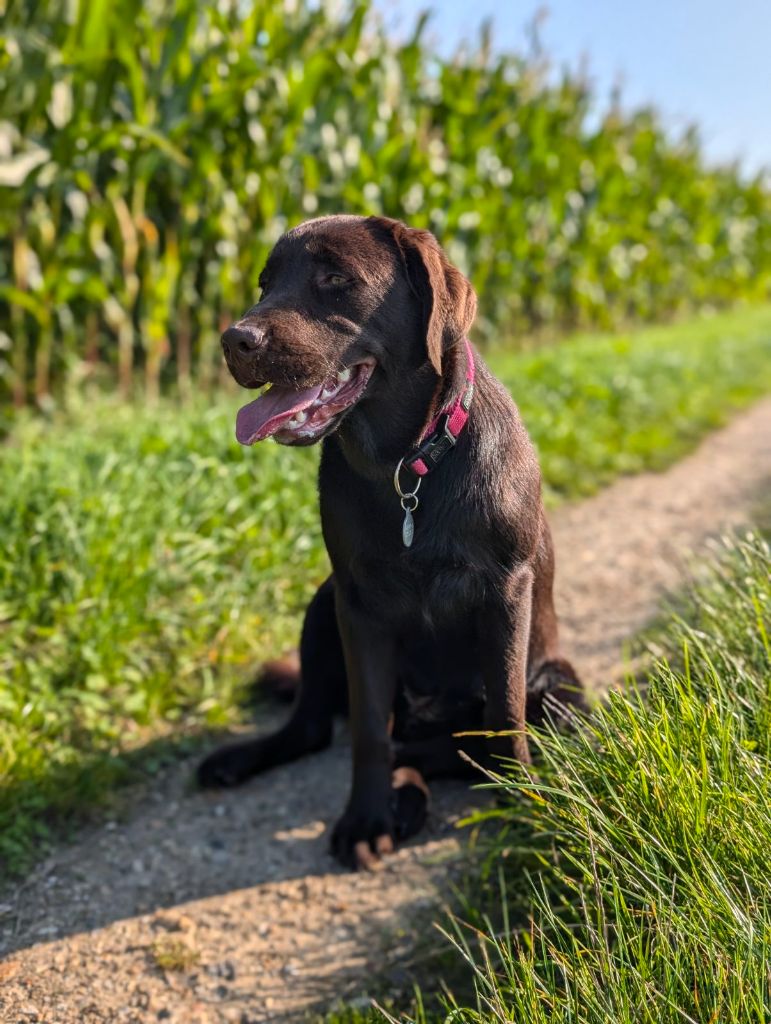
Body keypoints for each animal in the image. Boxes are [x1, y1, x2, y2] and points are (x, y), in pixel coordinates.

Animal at [198, 216, 581, 872]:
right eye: (265, 283)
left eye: (334, 279)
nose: (234, 339)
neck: (405, 466)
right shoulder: (359, 606)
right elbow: (369, 729)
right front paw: (366, 819)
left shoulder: (506, 593)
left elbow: (504, 714)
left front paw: (522, 808)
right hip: (321, 604)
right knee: (317, 728)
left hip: (561, 691)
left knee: (464, 743)